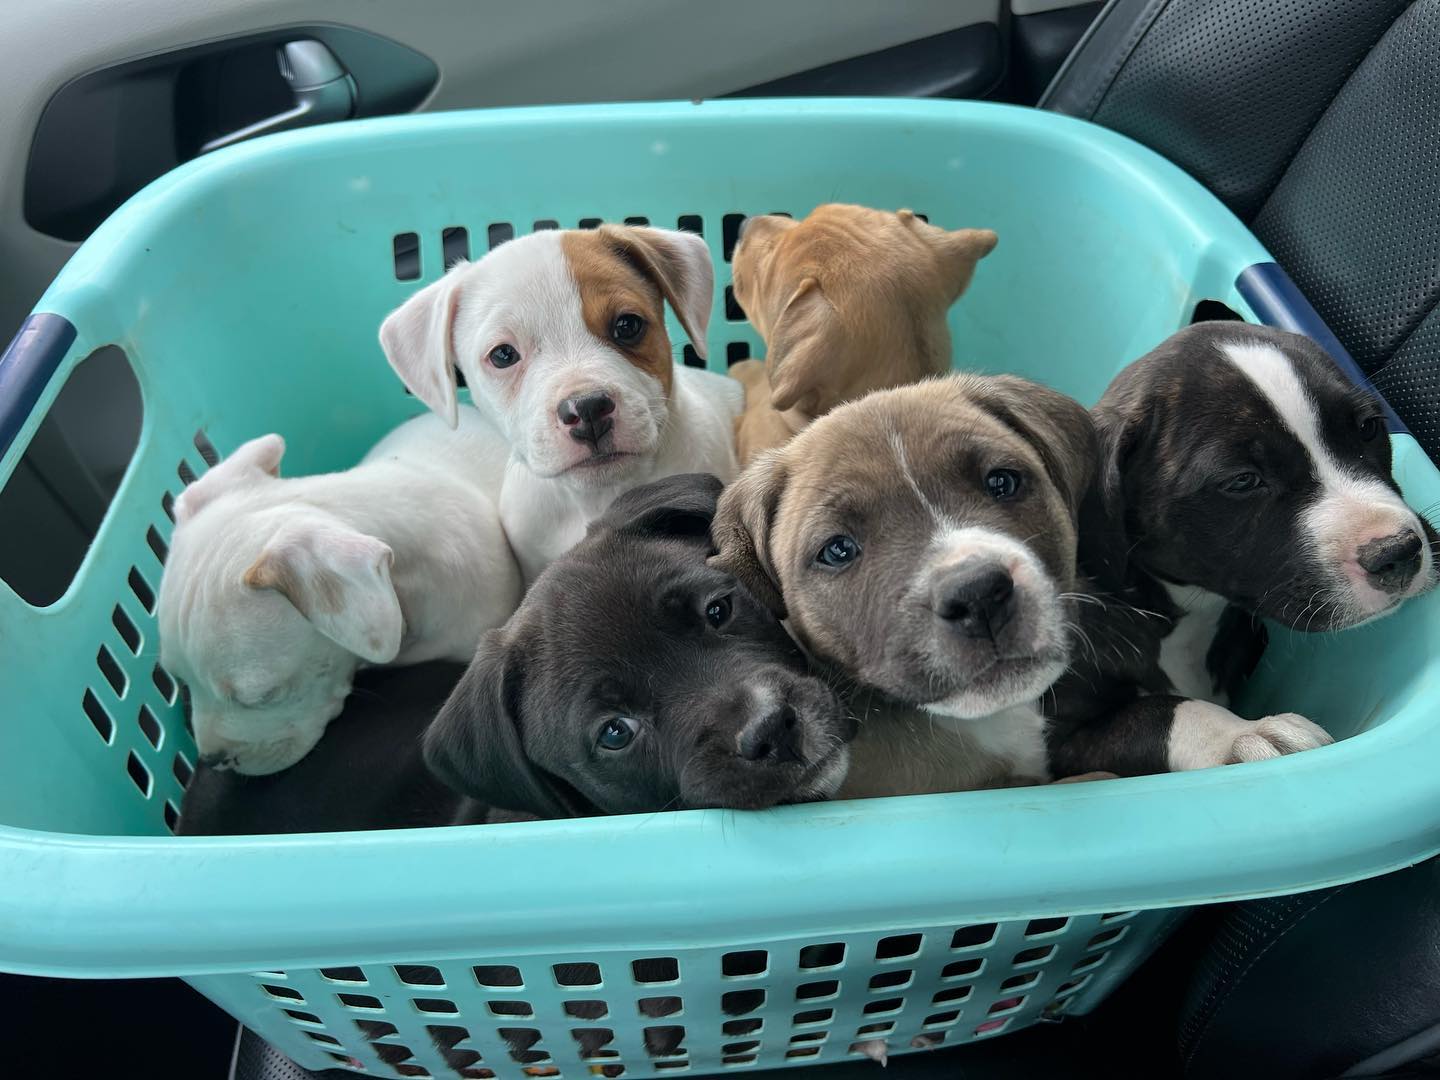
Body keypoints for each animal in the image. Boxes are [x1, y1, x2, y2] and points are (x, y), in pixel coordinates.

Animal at [1048, 321, 1440, 777]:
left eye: (1368, 427)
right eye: (1242, 481)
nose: (1398, 552)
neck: (1190, 612)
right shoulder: (1050, 742)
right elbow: (1160, 711)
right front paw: (1242, 735)